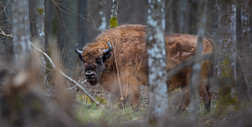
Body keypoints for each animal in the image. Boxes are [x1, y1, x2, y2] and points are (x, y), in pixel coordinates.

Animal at [75, 24, 213, 111]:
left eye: (99, 59)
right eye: (84, 60)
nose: (89, 75)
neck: (113, 52)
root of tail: (208, 42)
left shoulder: (130, 82)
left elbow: (132, 98)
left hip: (198, 80)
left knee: (205, 97)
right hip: (186, 82)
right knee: (188, 98)